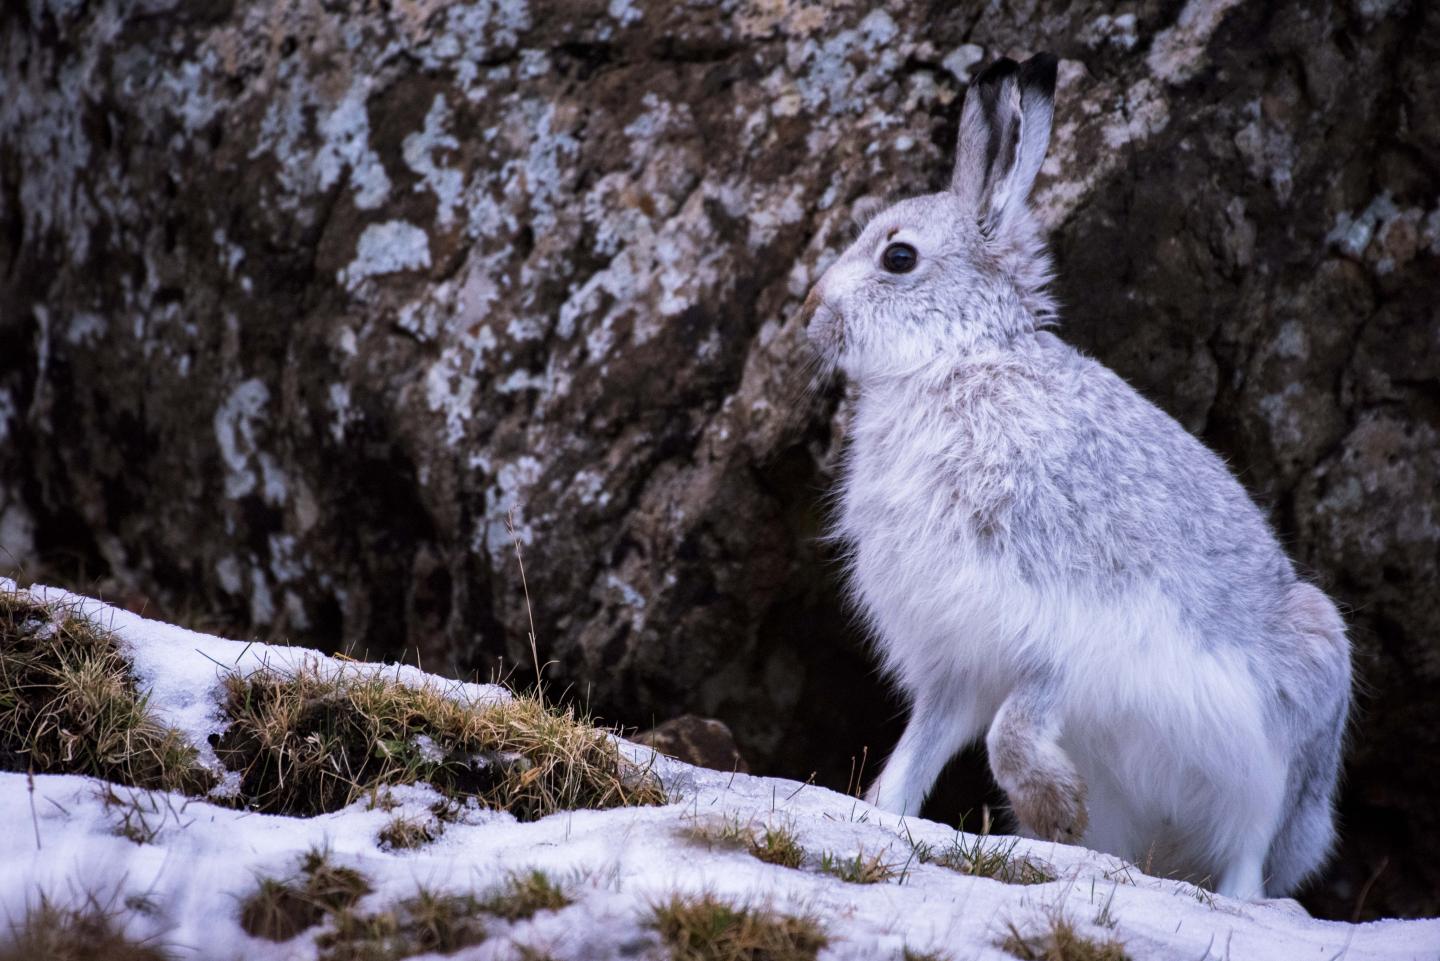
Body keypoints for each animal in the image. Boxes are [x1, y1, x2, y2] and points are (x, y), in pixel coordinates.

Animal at [800, 52, 1351, 900]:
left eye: (899, 257)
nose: (809, 310)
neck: (961, 359)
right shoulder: (955, 661)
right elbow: (918, 750)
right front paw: (879, 814)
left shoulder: (1066, 627)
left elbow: (1009, 729)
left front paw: (1056, 810)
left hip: (1282, 748)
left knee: (1251, 852)